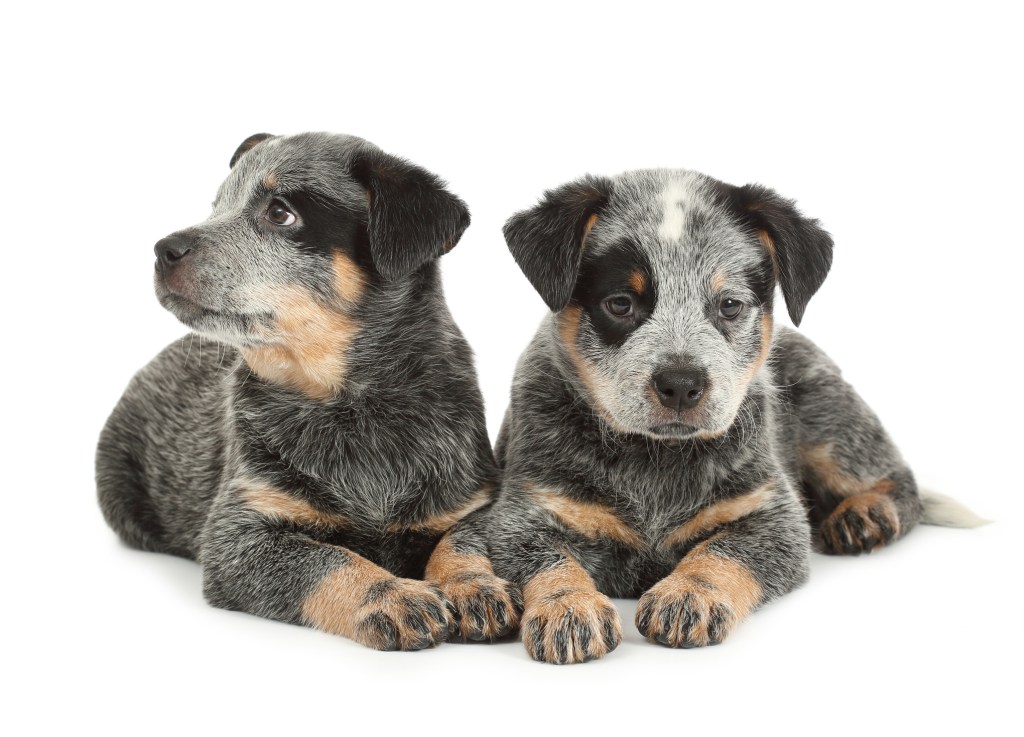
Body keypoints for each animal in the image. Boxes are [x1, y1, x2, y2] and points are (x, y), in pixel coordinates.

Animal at [96, 132, 520, 651]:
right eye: (218, 205)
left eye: (280, 213)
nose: (163, 248)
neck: (353, 410)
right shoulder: (238, 534)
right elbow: (328, 560)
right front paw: (392, 595)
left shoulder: (471, 502)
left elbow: (460, 542)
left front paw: (473, 584)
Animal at [483, 169, 978, 663]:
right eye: (621, 303)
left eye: (729, 305)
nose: (681, 383)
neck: (655, 461)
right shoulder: (525, 512)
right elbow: (549, 559)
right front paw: (568, 607)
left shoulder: (772, 515)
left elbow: (723, 552)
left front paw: (690, 595)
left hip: (828, 416)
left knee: (896, 478)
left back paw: (865, 513)